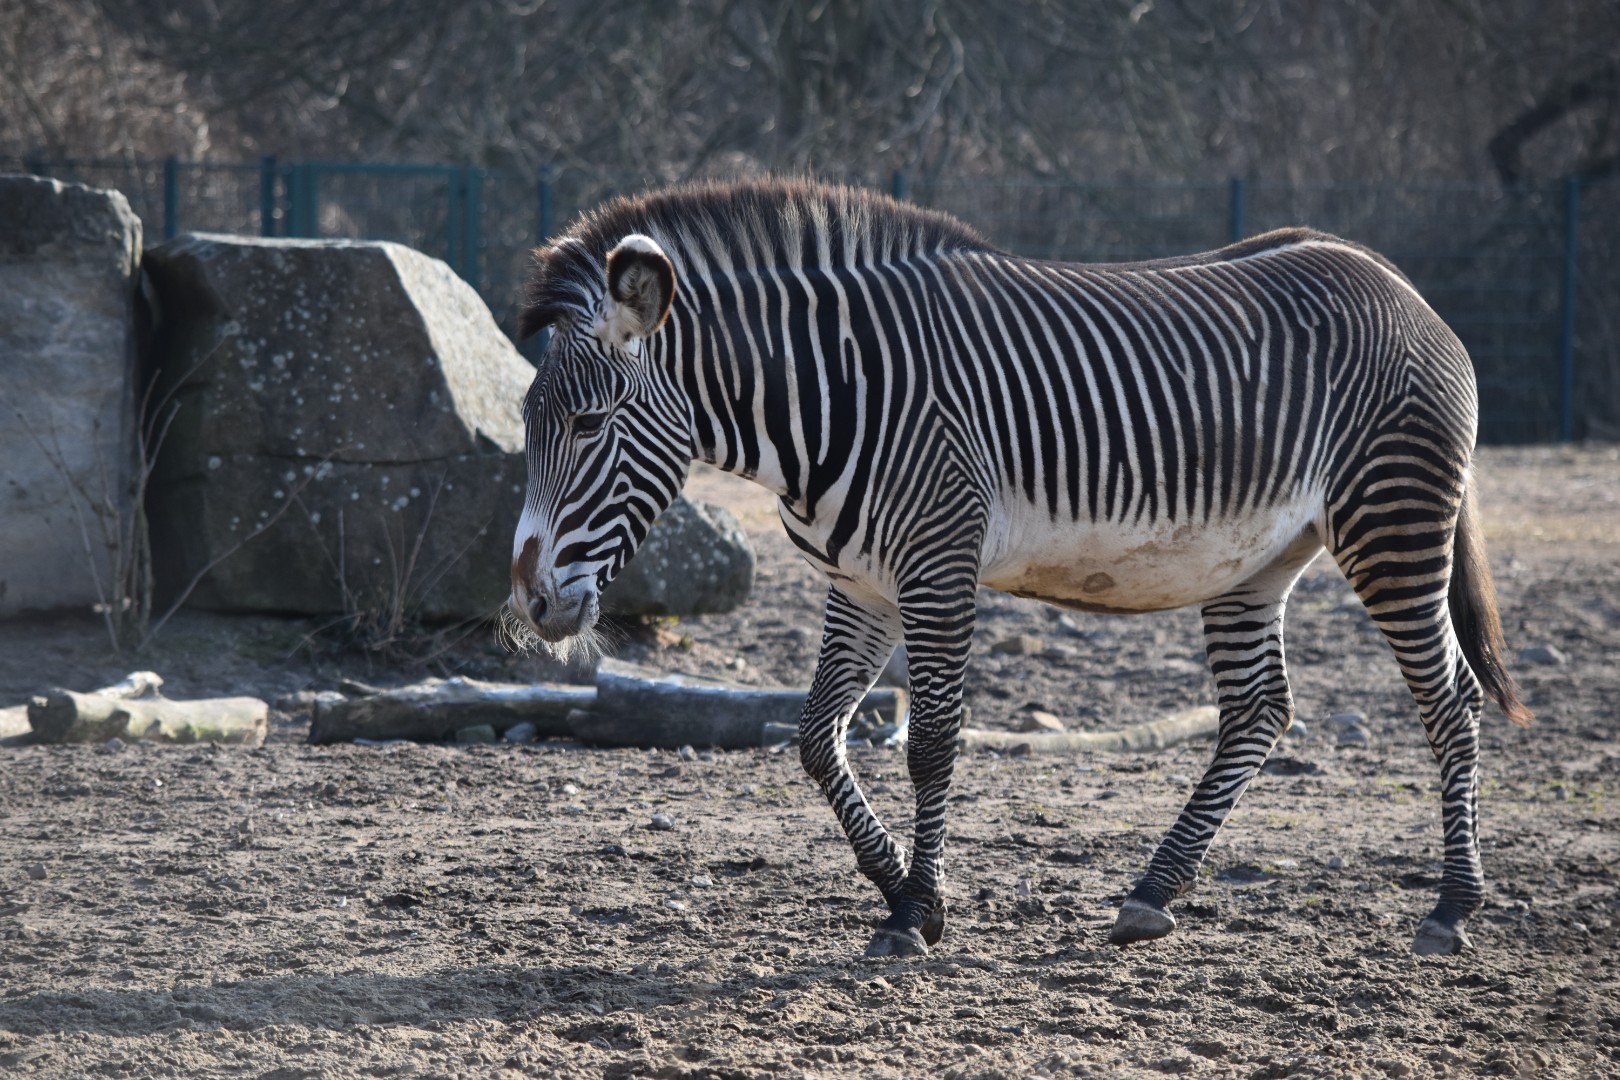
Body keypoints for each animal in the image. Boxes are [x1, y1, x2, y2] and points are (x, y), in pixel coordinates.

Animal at [506, 179, 1530, 959]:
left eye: (589, 425)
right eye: (527, 421)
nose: (534, 603)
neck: (831, 396)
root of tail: (1388, 276)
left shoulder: (938, 563)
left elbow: (930, 741)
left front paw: (915, 913)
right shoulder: (860, 582)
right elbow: (814, 738)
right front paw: (902, 888)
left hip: (1392, 521)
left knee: (1449, 700)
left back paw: (1450, 909)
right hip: (1259, 559)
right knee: (1260, 710)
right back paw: (1152, 893)